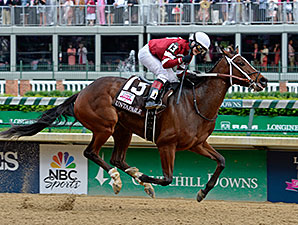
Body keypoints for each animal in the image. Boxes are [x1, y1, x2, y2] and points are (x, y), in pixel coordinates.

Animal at [0, 48, 268, 202]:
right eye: (242, 62)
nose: (263, 80)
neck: (196, 102)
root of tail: (83, 91)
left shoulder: (197, 144)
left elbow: (221, 161)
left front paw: (202, 192)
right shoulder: (166, 144)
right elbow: (167, 178)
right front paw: (148, 177)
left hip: (123, 129)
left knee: (117, 158)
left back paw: (137, 179)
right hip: (105, 125)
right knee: (91, 153)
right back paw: (119, 180)